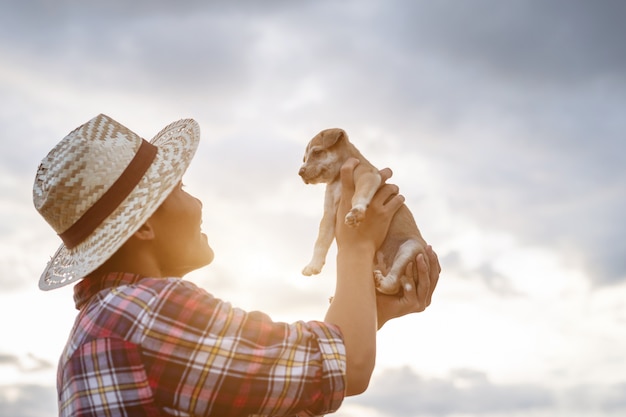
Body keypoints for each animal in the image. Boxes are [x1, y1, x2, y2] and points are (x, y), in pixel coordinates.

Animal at [296, 128, 424, 294]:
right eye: (304, 158)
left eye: (317, 152)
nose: (300, 172)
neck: (338, 179)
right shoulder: (329, 215)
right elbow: (320, 241)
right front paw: (313, 265)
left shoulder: (367, 175)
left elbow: (359, 194)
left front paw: (356, 211)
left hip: (409, 248)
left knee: (394, 282)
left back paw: (382, 282)